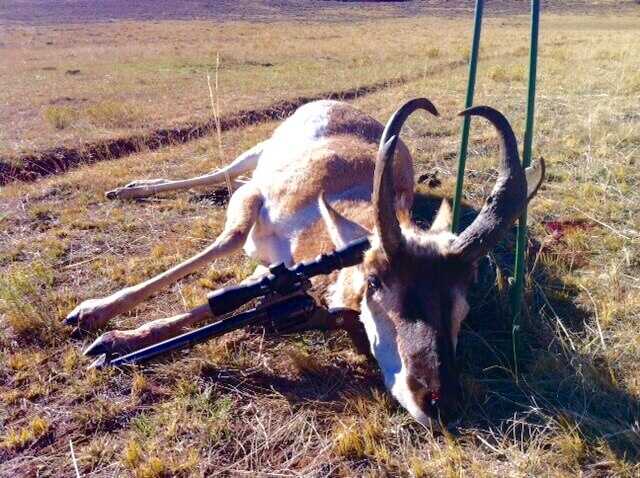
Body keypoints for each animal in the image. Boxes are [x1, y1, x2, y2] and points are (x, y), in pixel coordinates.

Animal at [67, 98, 544, 426]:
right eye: (374, 281)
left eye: (465, 296)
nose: (440, 401)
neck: (331, 200)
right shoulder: (251, 202)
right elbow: (218, 249)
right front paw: (97, 318)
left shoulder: (271, 268)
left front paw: (119, 340)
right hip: (255, 152)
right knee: (221, 174)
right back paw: (129, 189)